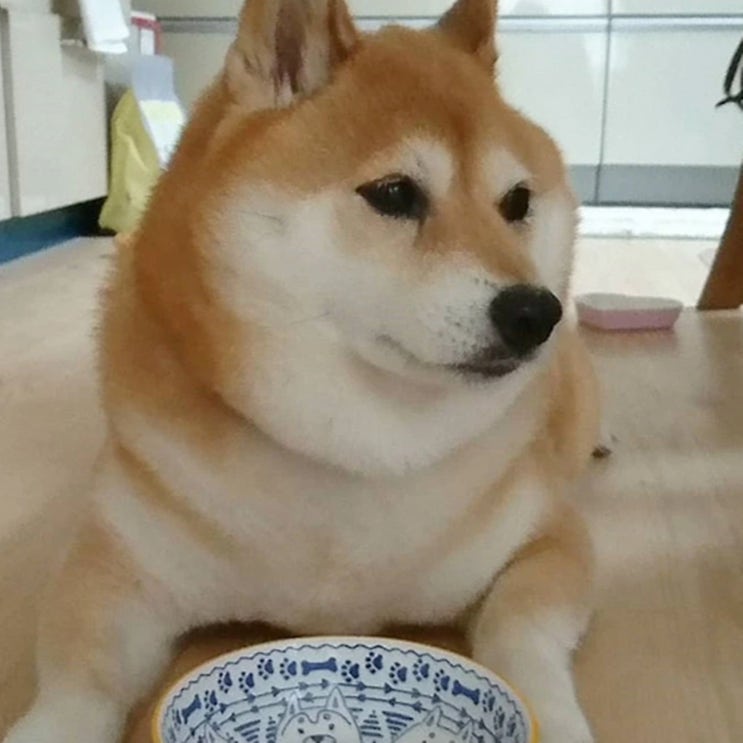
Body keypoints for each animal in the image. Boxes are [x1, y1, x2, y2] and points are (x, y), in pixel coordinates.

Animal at [4, 0, 600, 741]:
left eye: (517, 203)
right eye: (395, 193)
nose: (535, 311)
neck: (354, 453)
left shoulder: (548, 541)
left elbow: (522, 632)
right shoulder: (115, 565)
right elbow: (78, 678)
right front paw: (50, 725)